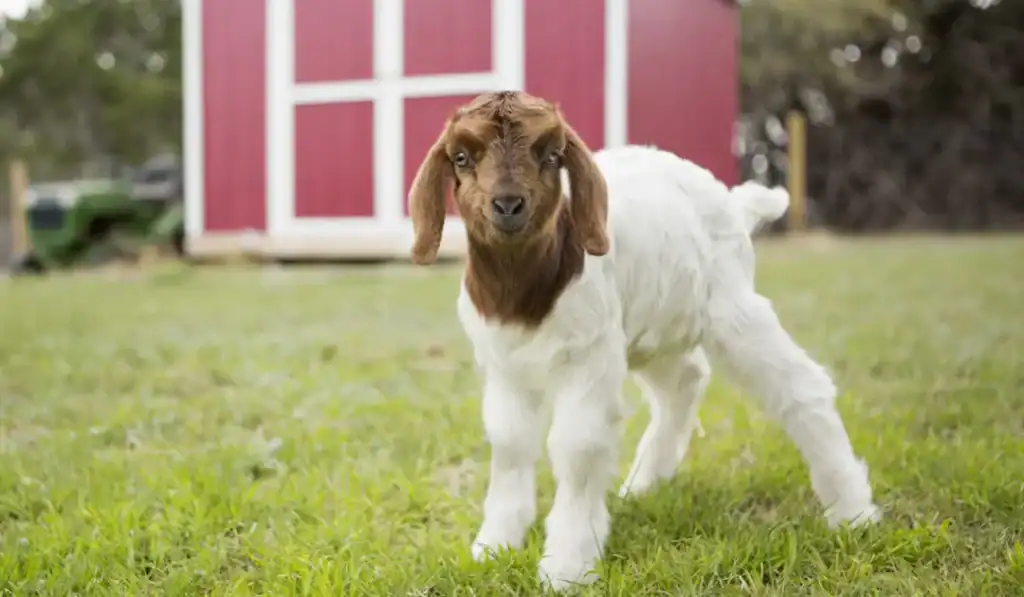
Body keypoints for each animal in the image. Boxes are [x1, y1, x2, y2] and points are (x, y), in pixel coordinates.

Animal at [407, 91, 880, 591]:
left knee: (801, 386)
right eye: (461, 157)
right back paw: (644, 484)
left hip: (730, 306)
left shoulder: (591, 358)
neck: (524, 293)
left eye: (552, 154)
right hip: (655, 324)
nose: (508, 204)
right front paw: (494, 546)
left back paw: (852, 511)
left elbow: (577, 447)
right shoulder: (503, 365)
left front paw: (567, 567)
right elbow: (510, 442)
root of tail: (734, 203)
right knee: (686, 379)